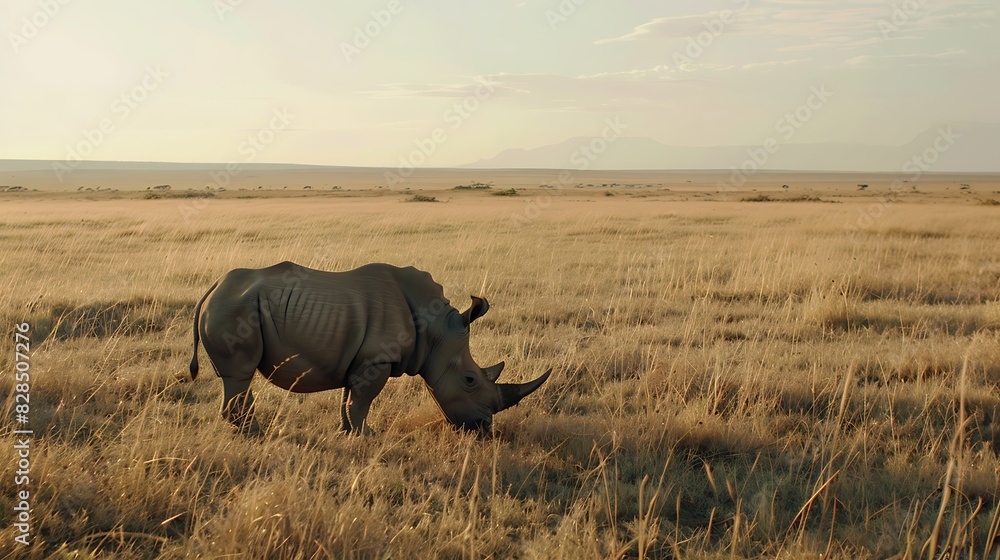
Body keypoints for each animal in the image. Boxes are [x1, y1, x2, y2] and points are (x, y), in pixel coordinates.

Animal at [189, 261, 550, 435]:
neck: (437, 330)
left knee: (238, 377)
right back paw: (256, 433)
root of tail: (213, 288)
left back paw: (251, 429)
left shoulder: (361, 360)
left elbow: (350, 399)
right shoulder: (378, 359)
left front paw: (347, 432)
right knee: (240, 373)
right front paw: (368, 435)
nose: (485, 430)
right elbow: (362, 401)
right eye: (470, 380)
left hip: (234, 305)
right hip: (235, 308)